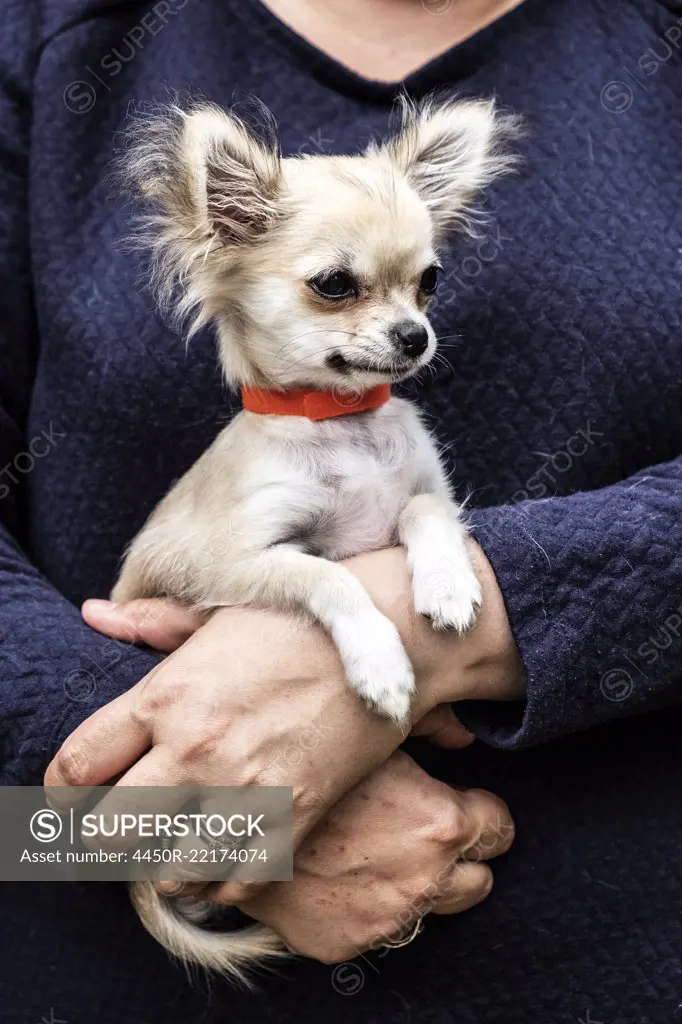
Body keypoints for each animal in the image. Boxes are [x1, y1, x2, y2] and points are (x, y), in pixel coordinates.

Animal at [114, 97, 516, 983]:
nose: (415, 336)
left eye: (430, 281)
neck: (344, 426)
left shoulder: (424, 492)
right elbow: (329, 578)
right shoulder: (237, 563)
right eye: (335, 284)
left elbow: (422, 514)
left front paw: (446, 584)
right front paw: (382, 665)